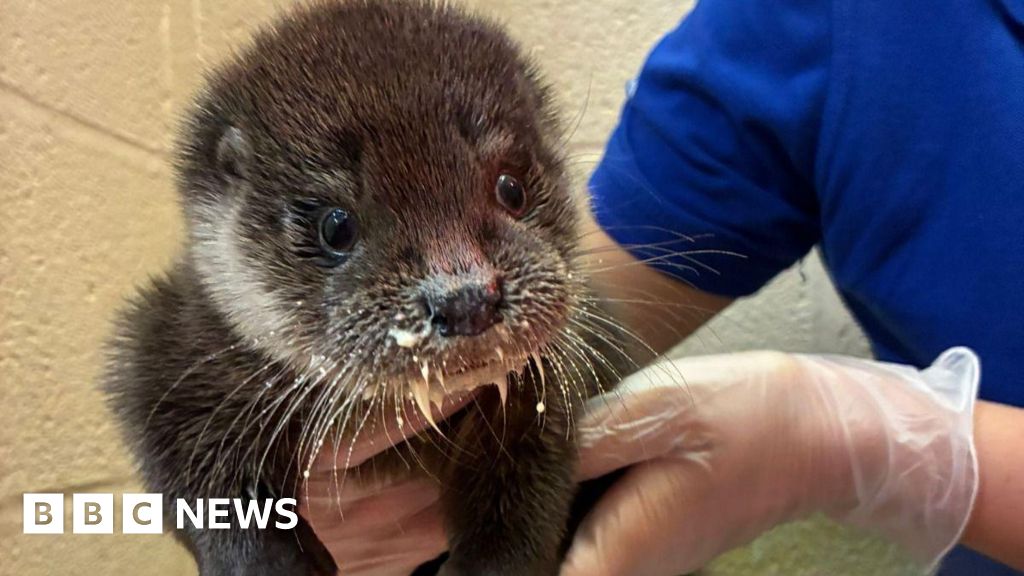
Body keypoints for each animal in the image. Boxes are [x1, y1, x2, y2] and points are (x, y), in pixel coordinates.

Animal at [104, 1, 637, 574]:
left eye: (510, 188)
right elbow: (194, 477)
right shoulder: (164, 346)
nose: (466, 298)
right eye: (336, 226)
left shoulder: (545, 388)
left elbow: (525, 500)